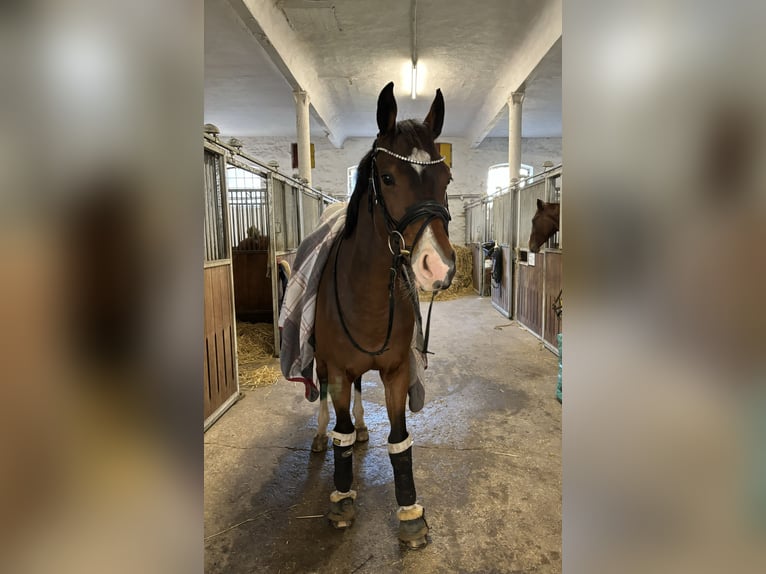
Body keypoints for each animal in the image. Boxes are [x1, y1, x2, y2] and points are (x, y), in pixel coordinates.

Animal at [314, 81, 456, 548]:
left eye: (446, 180)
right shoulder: (339, 370)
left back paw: (362, 428)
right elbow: (339, 430)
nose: (437, 266)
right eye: (389, 178)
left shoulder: (395, 372)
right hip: (321, 365)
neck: (369, 298)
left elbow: (399, 439)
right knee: (322, 402)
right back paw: (320, 435)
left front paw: (409, 512)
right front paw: (342, 500)